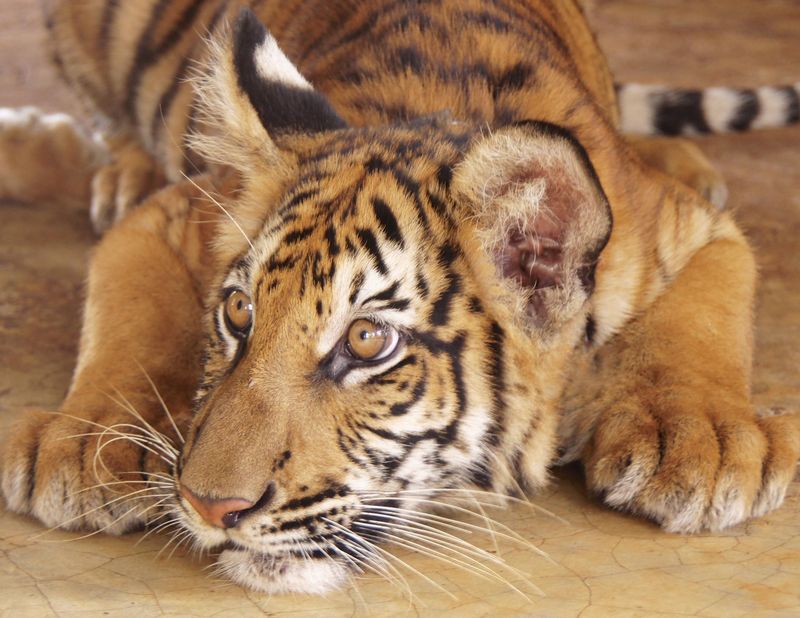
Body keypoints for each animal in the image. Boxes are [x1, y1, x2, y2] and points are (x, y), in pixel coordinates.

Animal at [1, 0, 799, 595]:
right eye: (238, 313)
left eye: (367, 341)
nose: (208, 504)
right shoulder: (171, 216)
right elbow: (131, 316)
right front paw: (89, 445)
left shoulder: (694, 230)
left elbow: (702, 322)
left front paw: (703, 443)